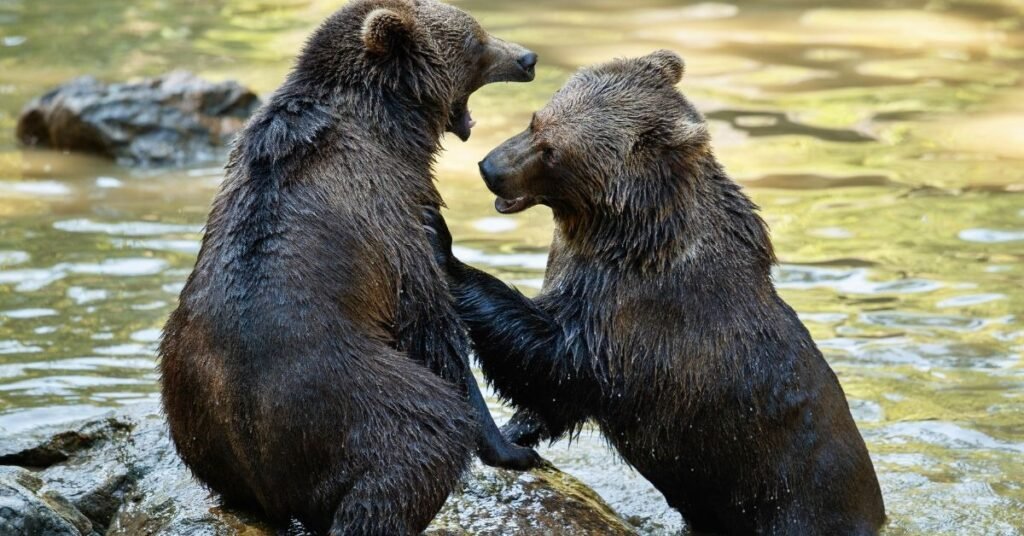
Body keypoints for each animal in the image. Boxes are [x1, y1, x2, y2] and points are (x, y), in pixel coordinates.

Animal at [158, 1, 541, 534]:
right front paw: (512, 448)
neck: (390, 124)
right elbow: (432, 326)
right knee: (422, 442)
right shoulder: (391, 212)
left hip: (191, 410)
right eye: (476, 39)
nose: (527, 58)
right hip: (351, 396)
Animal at [424, 50, 886, 535]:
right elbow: (551, 395)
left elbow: (555, 359)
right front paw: (516, 431)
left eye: (553, 150)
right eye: (535, 120)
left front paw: (444, 244)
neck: (623, 234)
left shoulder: (636, 313)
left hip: (794, 499)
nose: (490, 168)